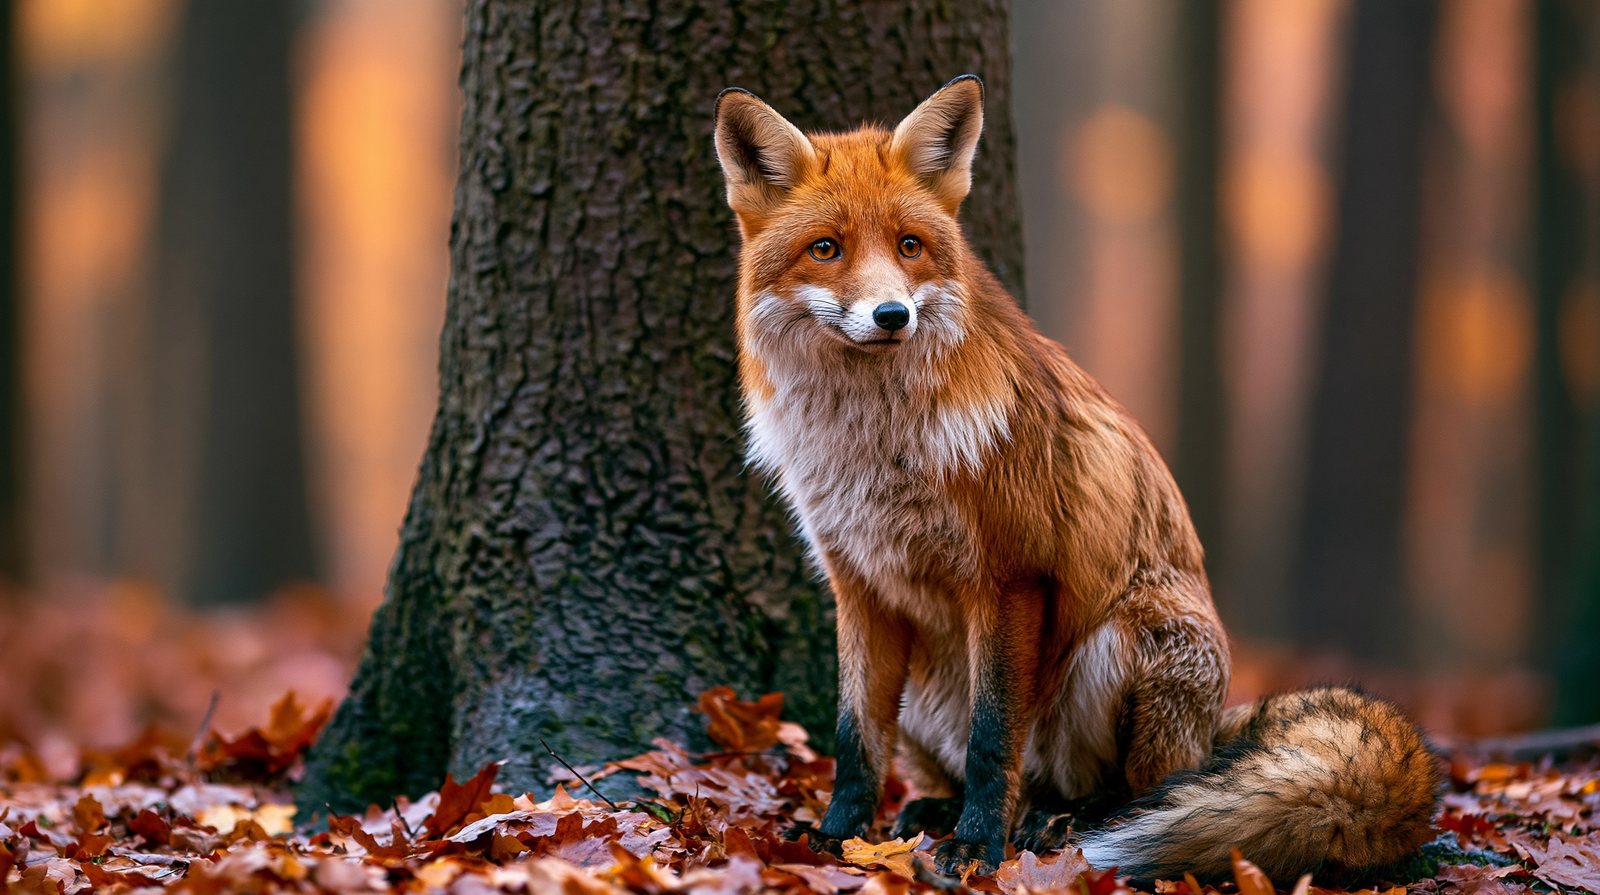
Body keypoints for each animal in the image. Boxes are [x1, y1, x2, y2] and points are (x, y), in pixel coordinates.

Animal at [712, 75, 1439, 881]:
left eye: (909, 246)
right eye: (826, 249)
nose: (892, 314)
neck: (874, 445)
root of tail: (1211, 731)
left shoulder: (1009, 576)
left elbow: (993, 737)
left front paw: (977, 847)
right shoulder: (861, 587)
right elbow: (853, 738)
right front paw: (838, 835)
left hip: (1124, 642)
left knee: (1142, 789)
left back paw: (1070, 820)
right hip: (928, 696)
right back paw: (944, 809)